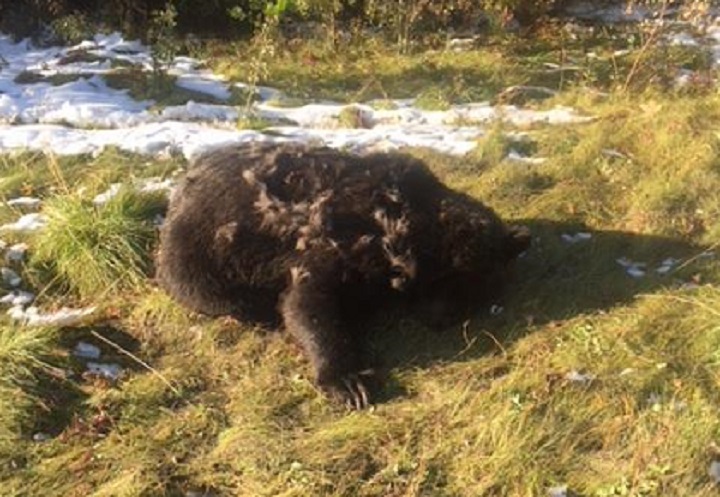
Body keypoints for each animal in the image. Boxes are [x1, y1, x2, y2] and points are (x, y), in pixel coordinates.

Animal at [156, 143, 530, 409]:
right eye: (450, 275)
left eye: (480, 284)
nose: (441, 319)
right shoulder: (331, 246)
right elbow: (308, 305)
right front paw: (348, 382)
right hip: (195, 252)